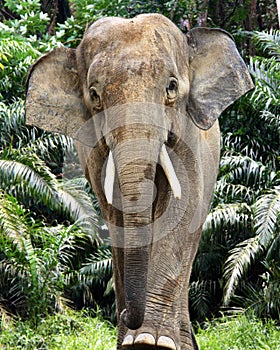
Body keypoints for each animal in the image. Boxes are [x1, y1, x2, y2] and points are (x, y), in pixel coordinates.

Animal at [25, 13, 254, 348]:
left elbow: (181, 210)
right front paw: (137, 340)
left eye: (171, 87)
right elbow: (116, 214)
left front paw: (151, 341)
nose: (124, 315)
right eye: (94, 95)